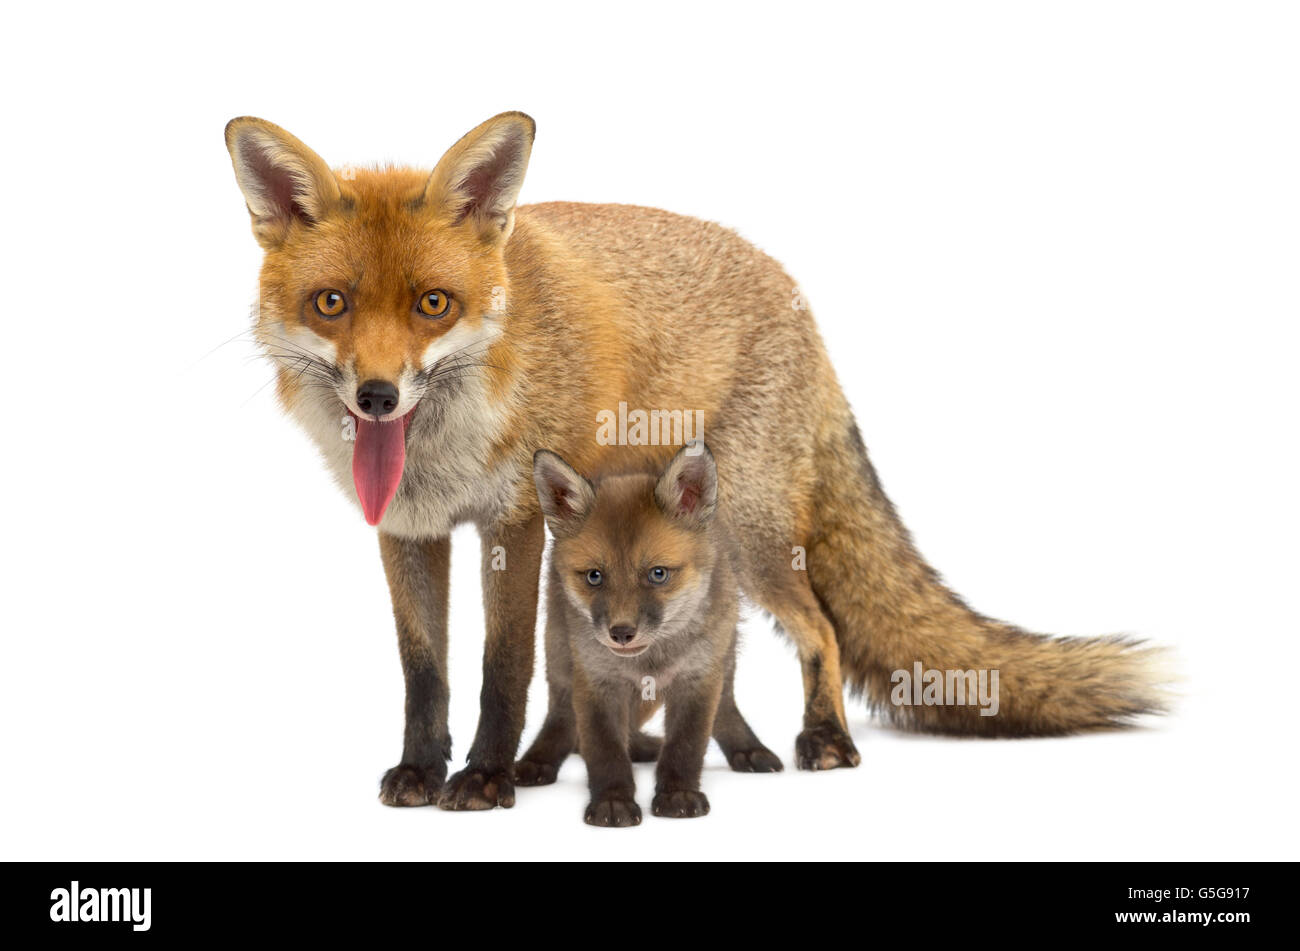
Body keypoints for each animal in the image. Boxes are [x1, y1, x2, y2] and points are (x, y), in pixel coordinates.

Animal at [223, 109, 1170, 810]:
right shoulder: (409, 527)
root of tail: (793, 289)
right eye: (332, 303)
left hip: (745, 530)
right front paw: (424, 769)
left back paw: (819, 740)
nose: (377, 396)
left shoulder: (513, 521)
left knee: (818, 629)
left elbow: (502, 667)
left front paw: (484, 777)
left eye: (432, 304)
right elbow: (425, 671)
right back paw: (643, 746)